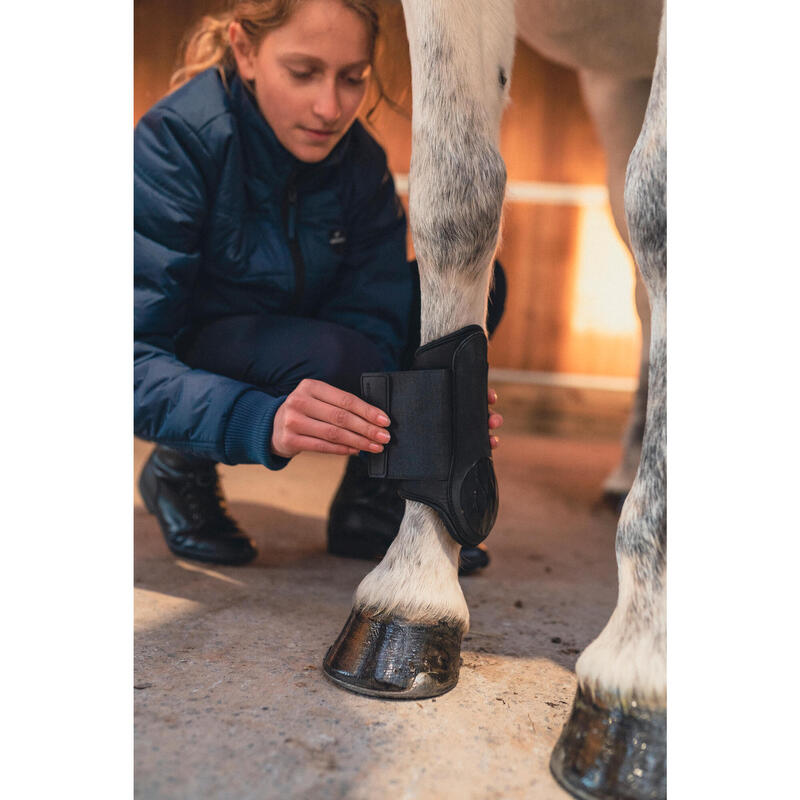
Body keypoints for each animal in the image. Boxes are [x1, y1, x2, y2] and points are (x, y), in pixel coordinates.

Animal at [322, 1, 664, 800]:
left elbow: (663, 210)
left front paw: (642, 665)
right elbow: (455, 197)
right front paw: (413, 591)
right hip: (614, 83)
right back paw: (623, 468)